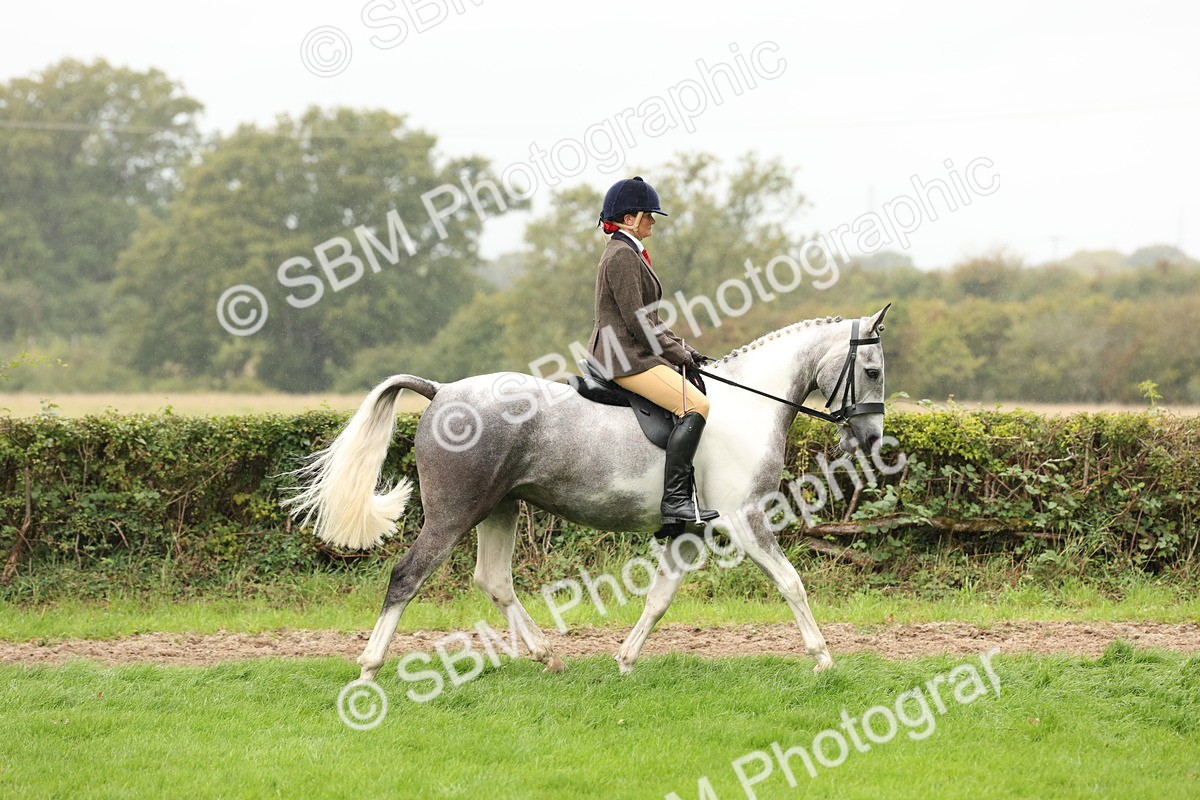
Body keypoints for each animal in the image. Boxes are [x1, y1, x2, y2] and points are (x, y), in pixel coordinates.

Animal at [284, 305, 890, 681]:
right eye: (873, 370)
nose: (871, 439)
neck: (747, 405)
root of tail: (442, 391)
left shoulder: (689, 532)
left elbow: (659, 598)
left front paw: (624, 660)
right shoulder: (745, 520)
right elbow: (791, 583)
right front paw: (823, 659)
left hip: (500, 507)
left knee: (494, 580)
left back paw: (548, 656)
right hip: (453, 514)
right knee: (406, 577)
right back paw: (370, 666)